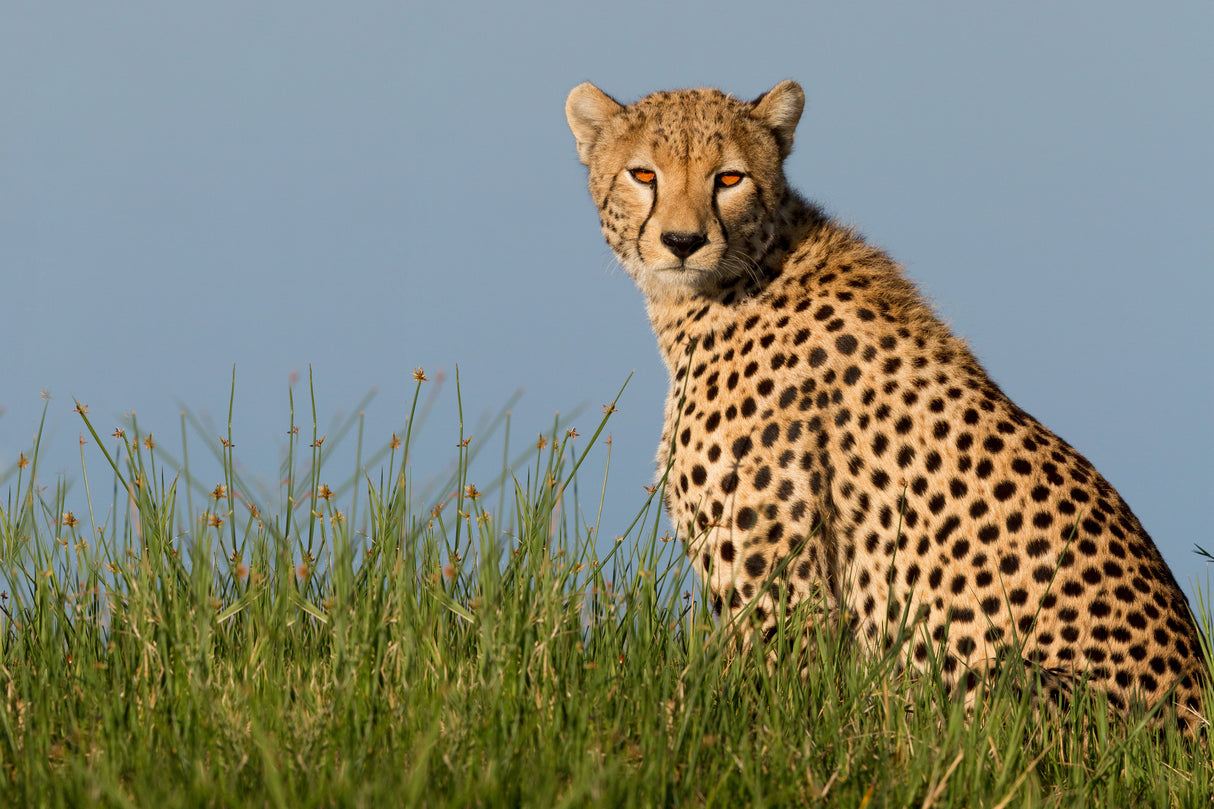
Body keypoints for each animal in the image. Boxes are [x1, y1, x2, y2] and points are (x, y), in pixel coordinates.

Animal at [565, 79, 1209, 732]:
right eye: (644, 174)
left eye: (729, 178)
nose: (683, 242)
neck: (731, 287)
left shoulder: (784, 595)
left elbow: (763, 711)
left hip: (1006, 685)